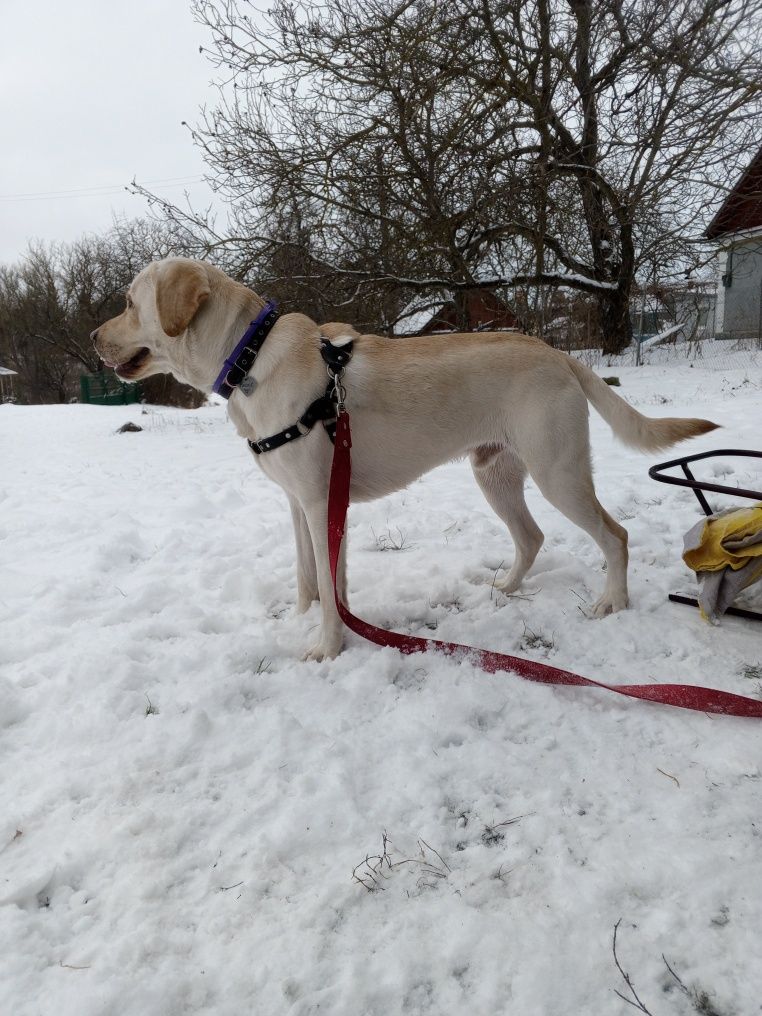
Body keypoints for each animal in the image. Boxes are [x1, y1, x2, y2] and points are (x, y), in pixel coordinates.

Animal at [92, 258, 719, 662]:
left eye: (128, 303)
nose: (94, 337)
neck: (248, 357)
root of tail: (559, 354)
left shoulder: (319, 501)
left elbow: (327, 583)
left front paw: (326, 647)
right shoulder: (300, 504)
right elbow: (312, 578)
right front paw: (310, 622)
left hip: (557, 473)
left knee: (615, 536)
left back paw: (612, 602)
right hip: (495, 473)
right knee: (532, 537)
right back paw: (505, 589)